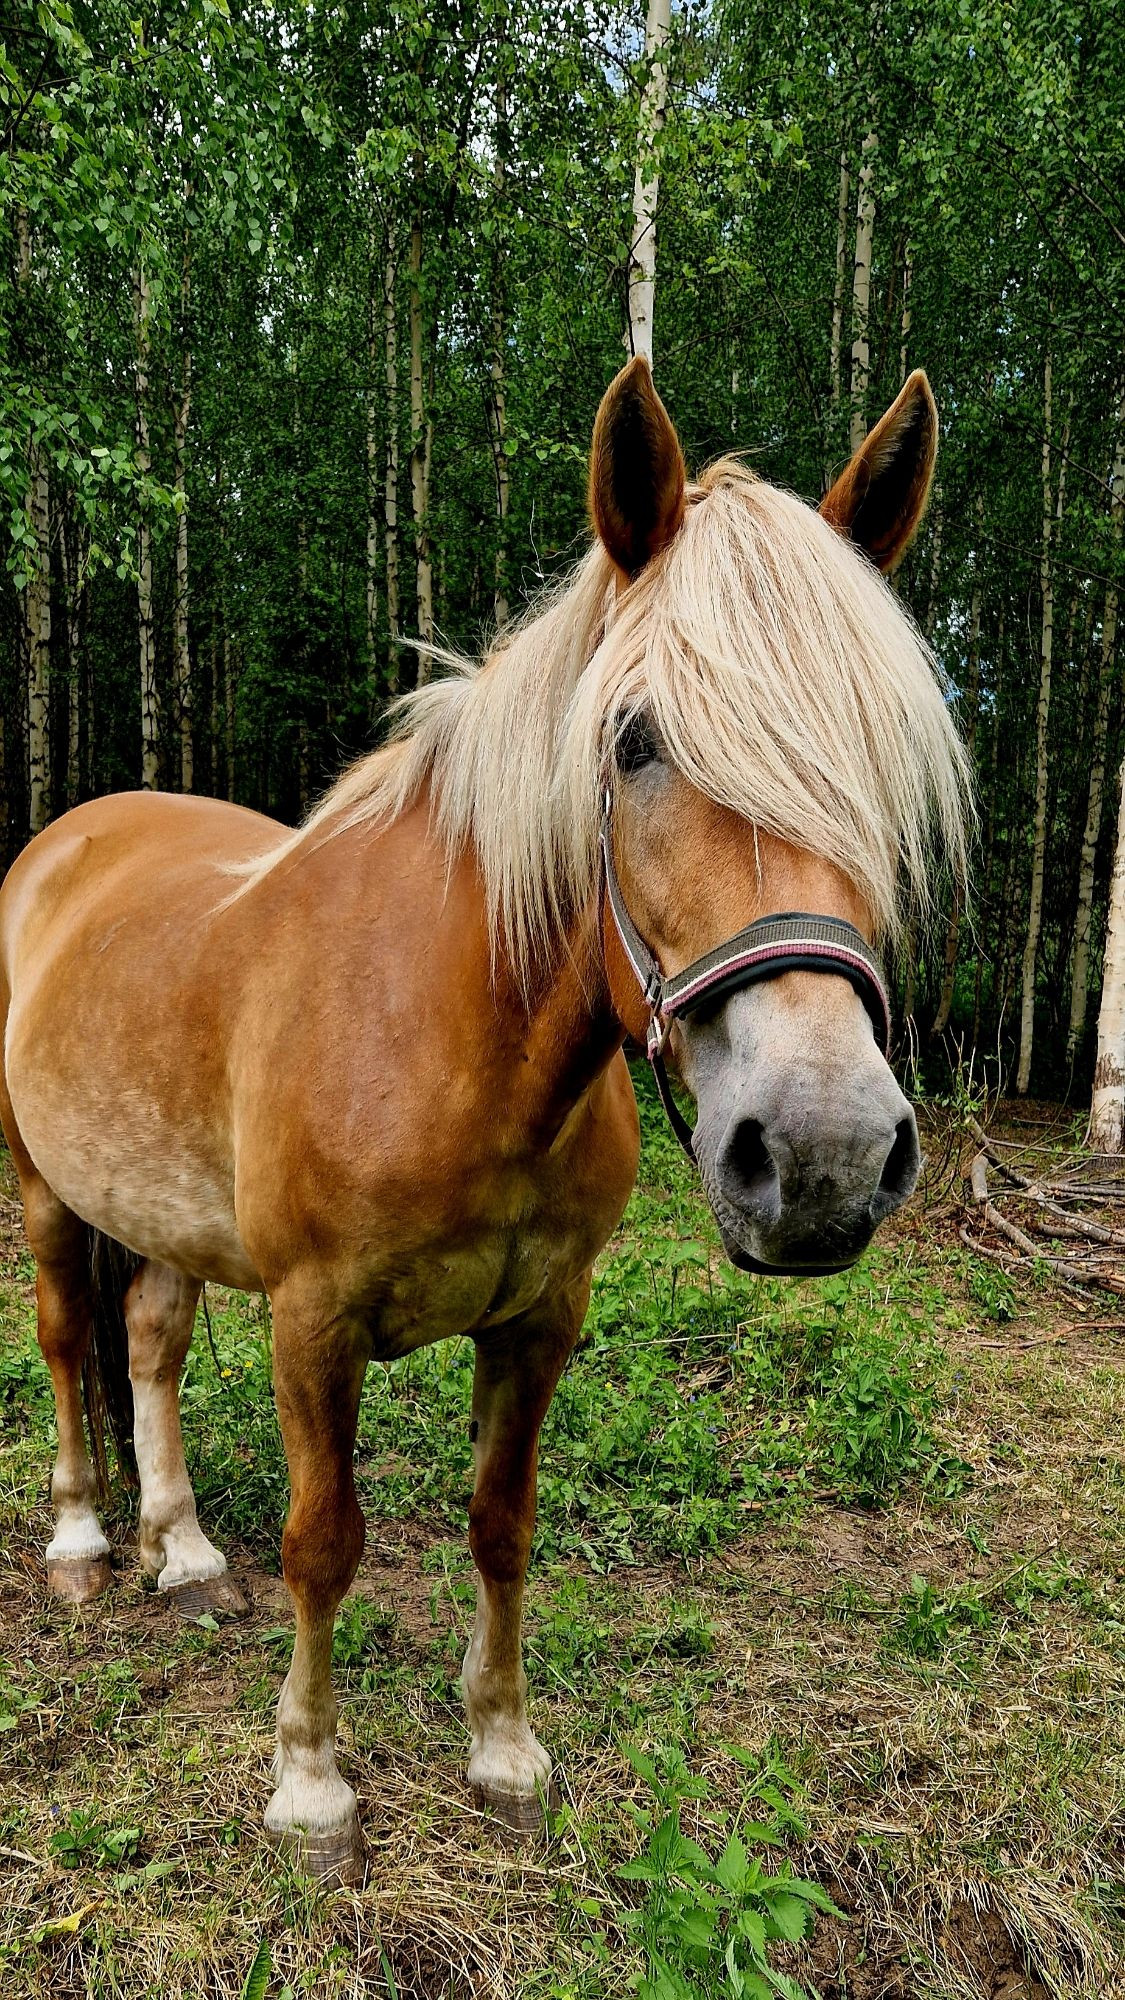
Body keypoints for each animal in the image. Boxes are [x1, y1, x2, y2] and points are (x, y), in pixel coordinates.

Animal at [0, 364, 964, 1888]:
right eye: (635, 741)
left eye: (878, 755)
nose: (822, 1156)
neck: (459, 1037)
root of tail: (72, 838)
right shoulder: (314, 1319)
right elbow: (324, 1541)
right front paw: (312, 1784)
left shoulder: (539, 1319)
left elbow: (502, 1524)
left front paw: (503, 1750)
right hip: (42, 1185)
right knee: (58, 1340)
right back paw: (89, 1541)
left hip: (157, 1211)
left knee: (145, 1343)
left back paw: (184, 1549)